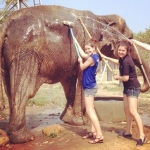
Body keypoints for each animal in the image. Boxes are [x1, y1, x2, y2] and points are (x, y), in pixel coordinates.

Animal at [0, 4, 149, 144]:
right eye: (130, 39)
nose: (142, 87)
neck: (101, 17)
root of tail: (5, 23)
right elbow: (80, 76)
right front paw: (80, 122)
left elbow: (70, 82)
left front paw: (67, 120)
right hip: (25, 51)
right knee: (23, 90)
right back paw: (25, 138)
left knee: (9, 89)